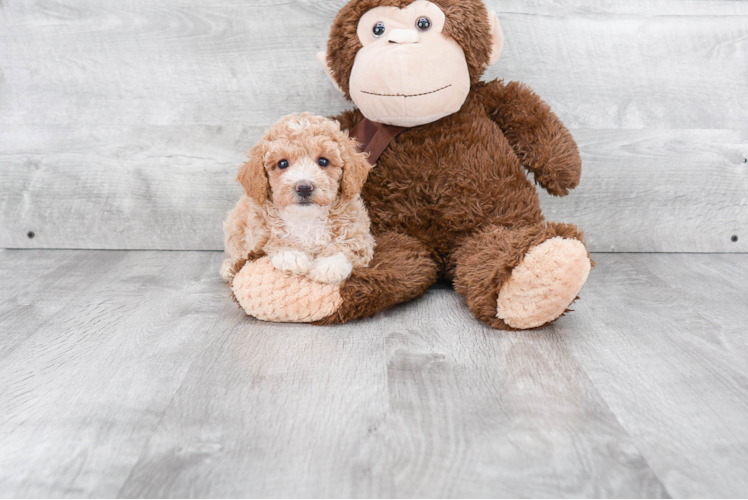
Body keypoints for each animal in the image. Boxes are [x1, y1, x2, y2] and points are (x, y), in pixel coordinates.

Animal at [221, 113, 374, 286]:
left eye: (323, 161)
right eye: (282, 163)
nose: (304, 187)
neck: (306, 218)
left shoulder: (360, 237)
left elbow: (344, 246)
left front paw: (328, 266)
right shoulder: (258, 236)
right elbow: (273, 241)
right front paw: (292, 255)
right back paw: (228, 268)